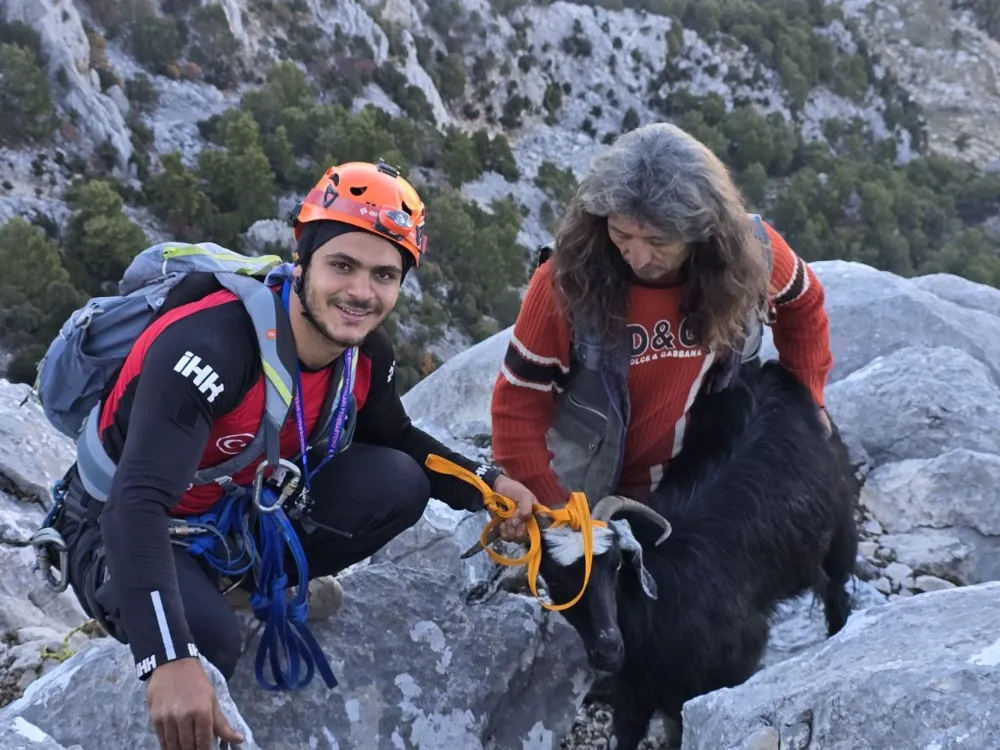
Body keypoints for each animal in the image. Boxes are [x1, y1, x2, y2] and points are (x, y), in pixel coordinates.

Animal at [476, 362, 860, 748]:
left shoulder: (722, 674)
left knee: (836, 592)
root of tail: (773, 372)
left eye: (615, 565)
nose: (610, 648)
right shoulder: (634, 697)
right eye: (554, 578)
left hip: (840, 534)